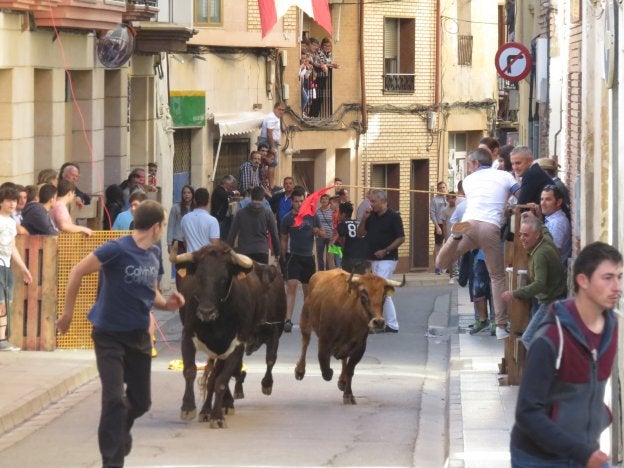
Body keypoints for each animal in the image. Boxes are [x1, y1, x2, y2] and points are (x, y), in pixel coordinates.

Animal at [173, 245, 286, 428]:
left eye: (223, 279)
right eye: (199, 277)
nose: (206, 311)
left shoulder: (239, 343)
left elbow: (222, 381)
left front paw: (217, 416)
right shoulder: (188, 336)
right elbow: (190, 371)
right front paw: (188, 408)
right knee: (213, 377)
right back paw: (208, 409)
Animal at [294, 268, 404, 404]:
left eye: (383, 297)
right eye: (363, 295)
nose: (378, 322)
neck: (349, 316)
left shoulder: (360, 347)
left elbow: (350, 370)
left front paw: (348, 394)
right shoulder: (324, 340)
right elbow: (324, 366)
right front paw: (330, 373)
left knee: (343, 359)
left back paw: (342, 381)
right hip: (305, 319)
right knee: (305, 342)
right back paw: (300, 370)